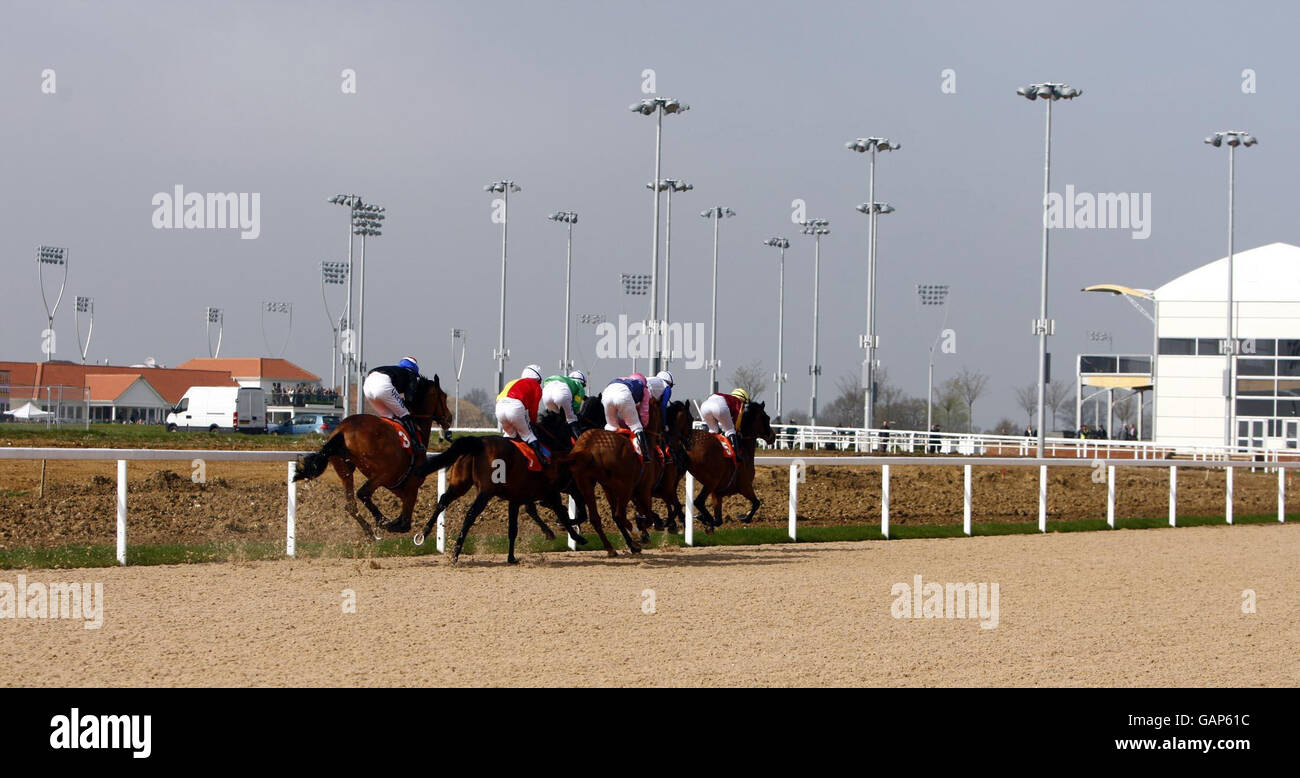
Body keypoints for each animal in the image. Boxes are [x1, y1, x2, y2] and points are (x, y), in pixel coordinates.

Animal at [292, 374, 454, 538]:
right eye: (444, 396)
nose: (449, 418)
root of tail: (342, 429)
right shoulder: (412, 485)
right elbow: (405, 524)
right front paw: (393, 524)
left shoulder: (398, 487)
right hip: (383, 472)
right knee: (363, 493)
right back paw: (382, 521)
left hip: (346, 470)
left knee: (351, 504)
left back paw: (370, 530)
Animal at [413, 408, 587, 567]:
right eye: (573, 426)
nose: (576, 442)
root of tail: (479, 443)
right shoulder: (551, 492)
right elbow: (561, 513)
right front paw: (578, 537)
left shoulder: (516, 498)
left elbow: (513, 529)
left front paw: (511, 558)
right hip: (486, 492)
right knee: (470, 515)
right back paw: (455, 554)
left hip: (460, 484)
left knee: (443, 500)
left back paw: (423, 533)